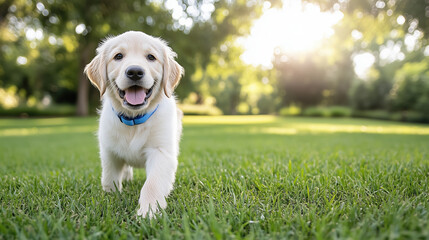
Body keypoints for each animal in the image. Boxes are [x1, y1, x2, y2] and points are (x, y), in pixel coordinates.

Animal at [84, 30, 183, 218]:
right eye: (118, 56)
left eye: (151, 57)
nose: (135, 71)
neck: (134, 119)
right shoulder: (109, 151)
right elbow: (109, 178)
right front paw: (109, 196)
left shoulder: (161, 152)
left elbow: (152, 183)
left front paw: (148, 211)